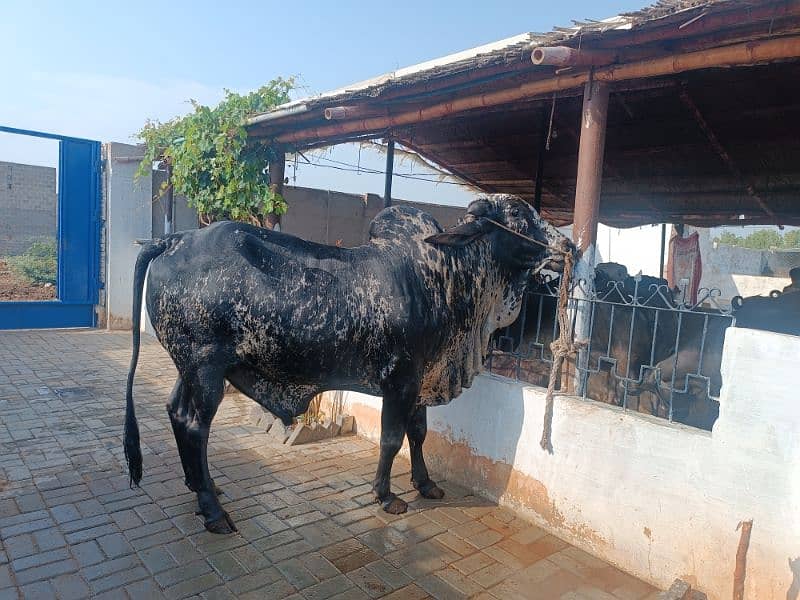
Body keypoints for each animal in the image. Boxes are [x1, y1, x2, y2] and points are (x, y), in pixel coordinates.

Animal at [122, 195, 572, 532]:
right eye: (518, 213)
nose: (567, 246)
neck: (445, 276)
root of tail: (175, 238)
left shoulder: (422, 380)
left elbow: (419, 434)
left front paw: (426, 484)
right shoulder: (401, 380)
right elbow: (392, 439)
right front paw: (387, 496)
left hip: (189, 368)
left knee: (176, 412)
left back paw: (205, 488)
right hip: (206, 369)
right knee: (195, 425)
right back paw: (214, 511)